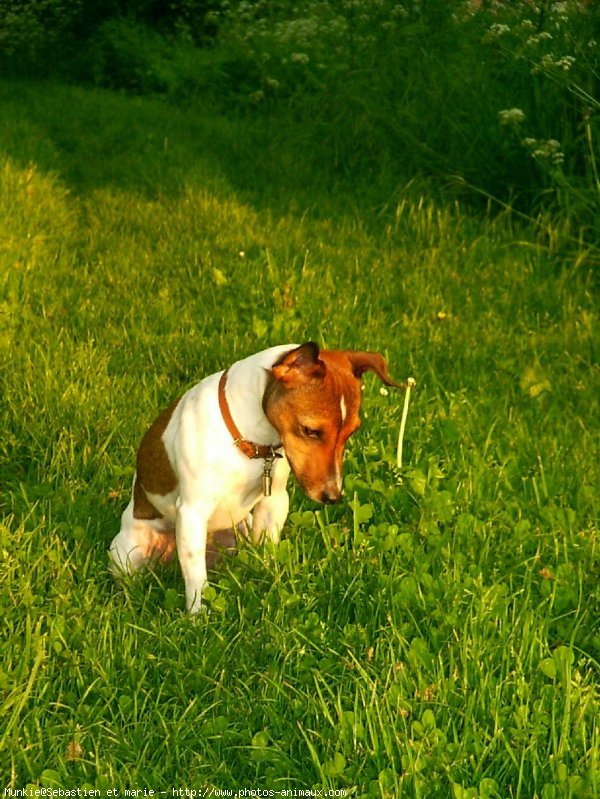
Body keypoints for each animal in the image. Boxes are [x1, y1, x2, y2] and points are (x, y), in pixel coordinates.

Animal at [111, 342, 404, 612]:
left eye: (351, 432)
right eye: (311, 431)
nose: (332, 496)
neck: (252, 443)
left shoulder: (274, 502)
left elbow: (268, 552)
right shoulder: (192, 512)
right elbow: (196, 578)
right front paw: (198, 617)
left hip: (240, 529)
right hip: (126, 554)